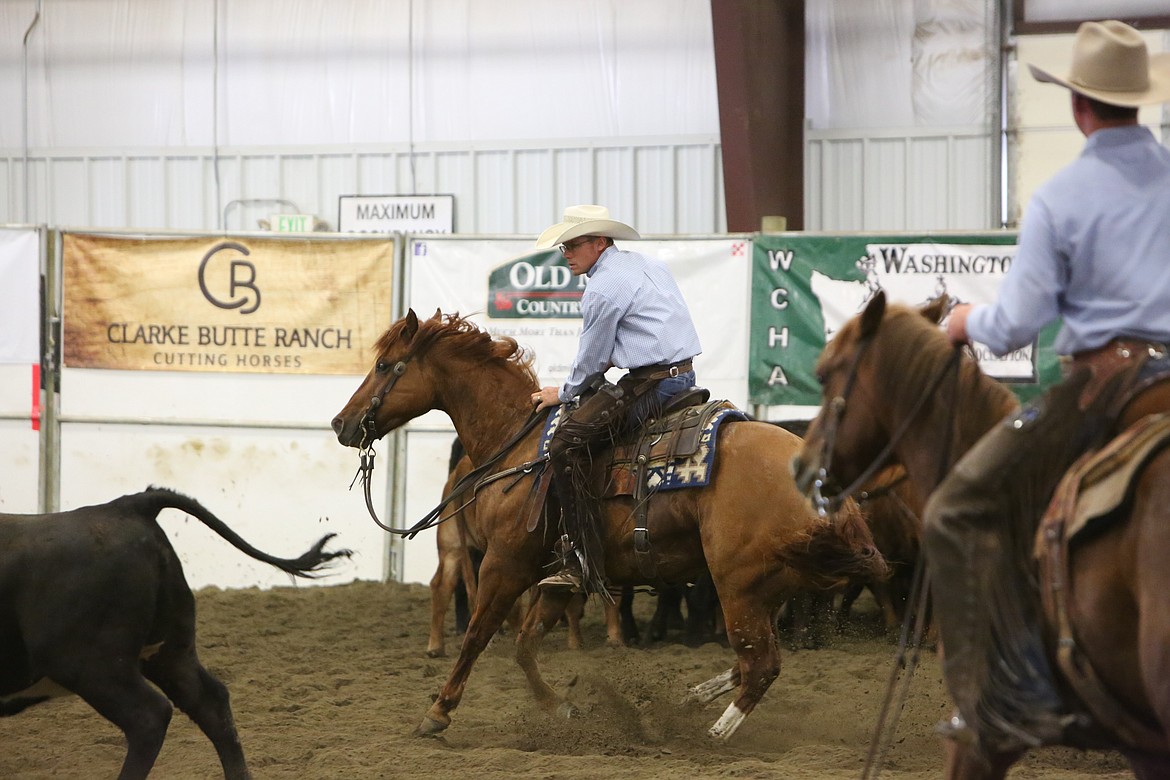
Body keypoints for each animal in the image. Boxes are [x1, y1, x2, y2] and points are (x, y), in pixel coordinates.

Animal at [329, 308, 884, 743]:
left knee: (761, 665)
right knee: (753, 661)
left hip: (738, 585)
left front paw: (437, 712)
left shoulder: (505, 565)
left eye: (383, 365)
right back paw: (691, 700)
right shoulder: (555, 577)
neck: (518, 445)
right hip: (771, 584)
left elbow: (478, 637)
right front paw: (561, 708)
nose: (341, 423)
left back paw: (707, 737)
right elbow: (524, 646)